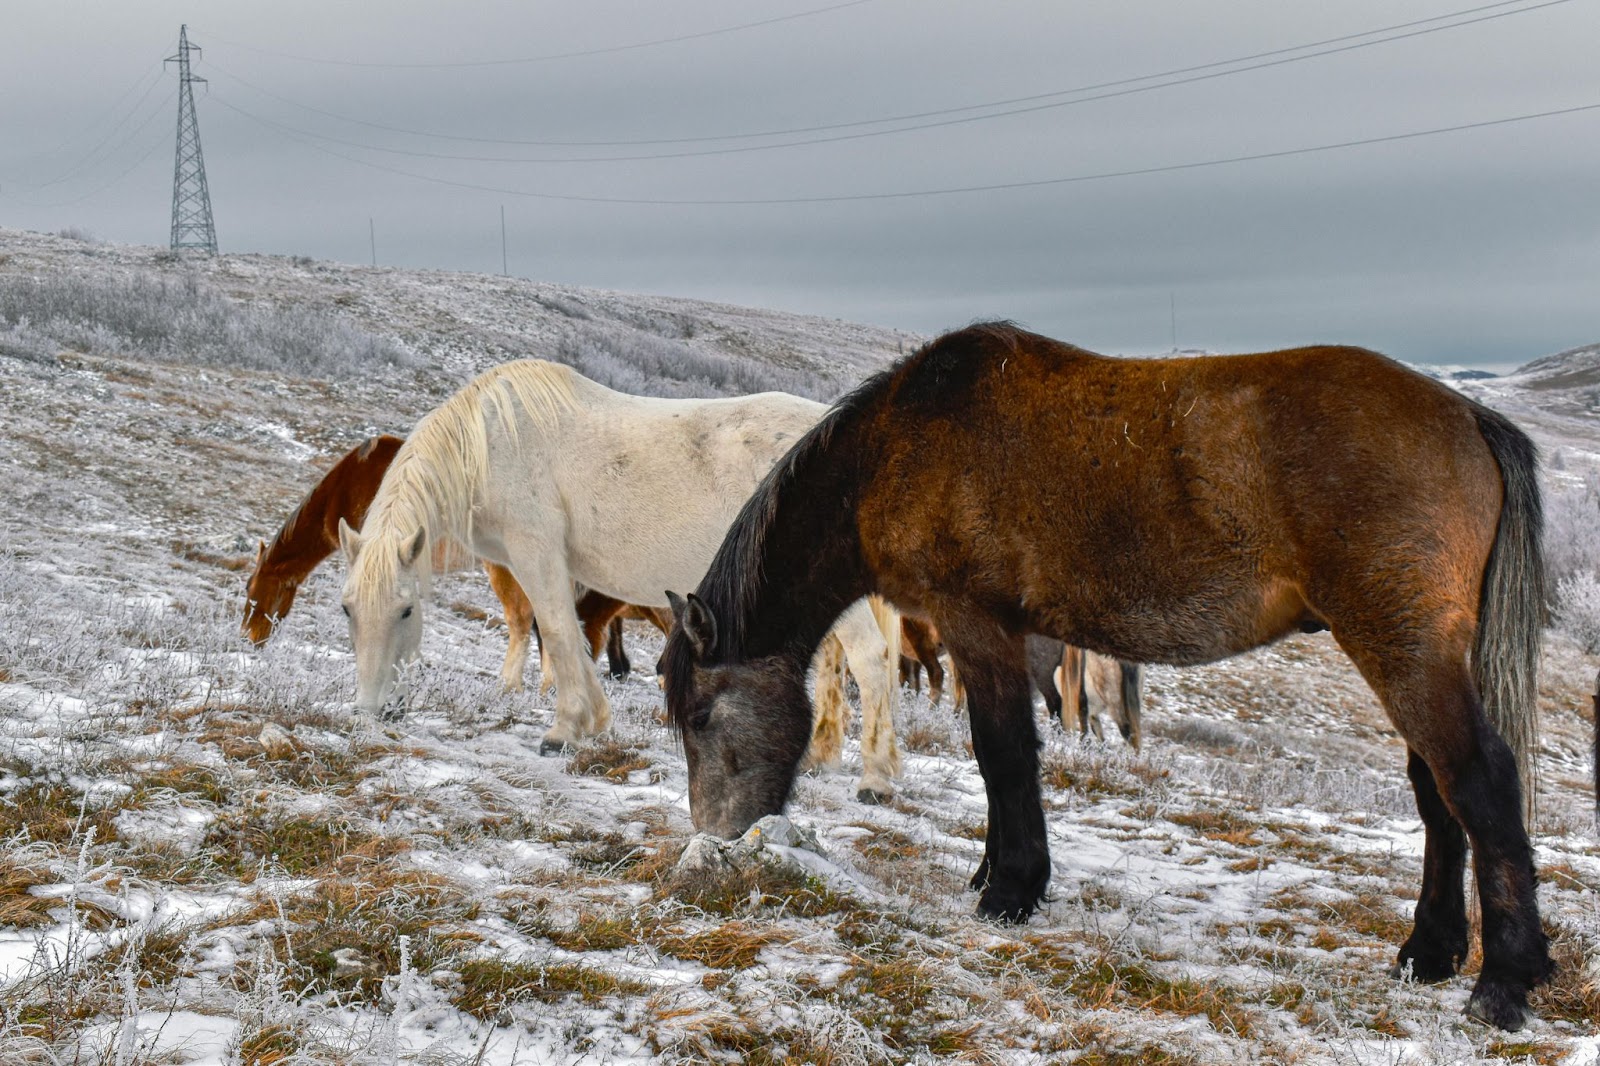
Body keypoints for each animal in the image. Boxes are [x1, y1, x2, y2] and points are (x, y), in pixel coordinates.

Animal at [339, 358, 908, 797]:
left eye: (406, 610)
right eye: (347, 610)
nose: (370, 712)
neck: (493, 442)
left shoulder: (536, 553)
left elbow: (558, 631)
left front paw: (563, 730)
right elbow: (569, 636)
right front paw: (592, 719)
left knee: (869, 660)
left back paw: (875, 781)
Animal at [659, 320, 1561, 1024]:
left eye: (699, 717)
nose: (713, 838)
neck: (896, 446)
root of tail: (1469, 415)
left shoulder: (975, 624)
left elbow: (1003, 754)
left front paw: (1009, 891)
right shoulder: (1013, 638)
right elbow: (1006, 759)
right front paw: (997, 872)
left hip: (1400, 648)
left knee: (1477, 783)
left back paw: (1502, 983)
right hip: (1409, 652)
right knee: (1438, 796)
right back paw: (1429, 953)